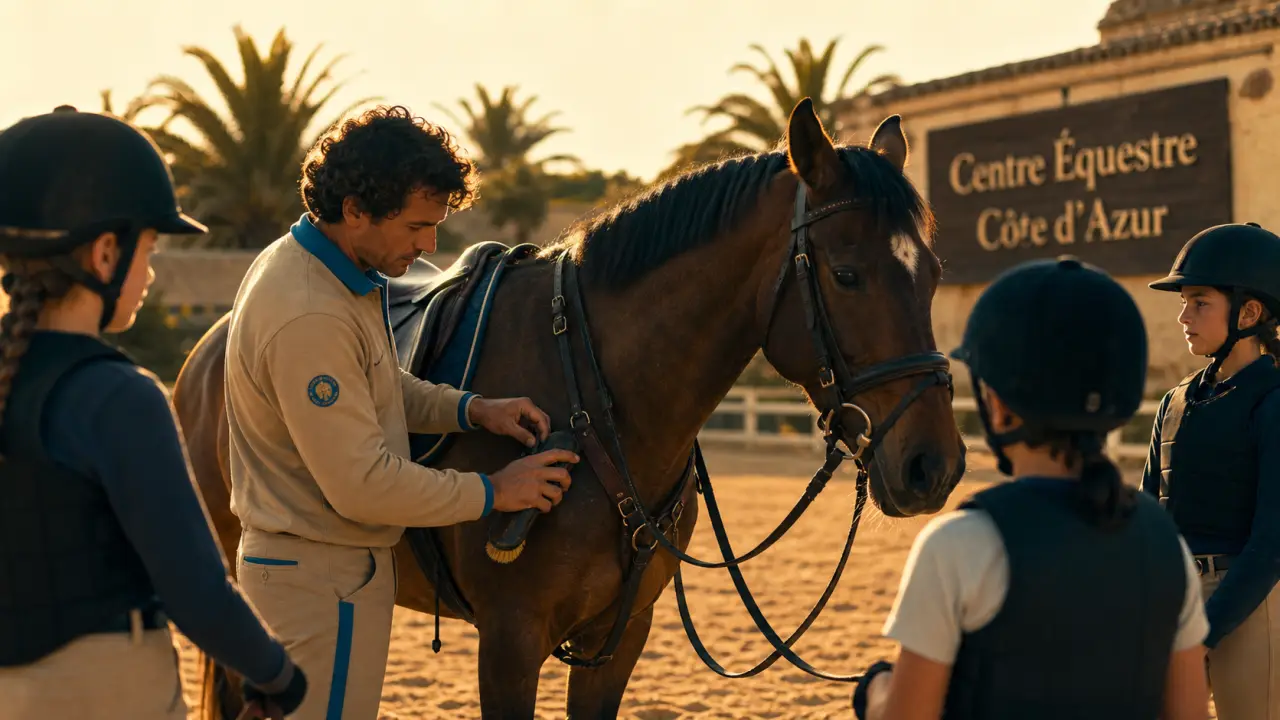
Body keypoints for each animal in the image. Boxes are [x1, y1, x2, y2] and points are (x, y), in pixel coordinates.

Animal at [171, 98, 967, 719]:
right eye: (847, 273)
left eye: (932, 271)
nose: (934, 466)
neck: (597, 410)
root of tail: (215, 342)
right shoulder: (510, 642)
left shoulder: (619, 640)